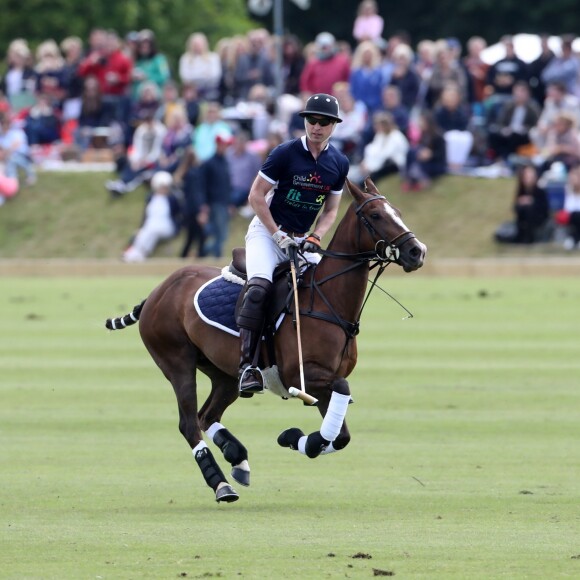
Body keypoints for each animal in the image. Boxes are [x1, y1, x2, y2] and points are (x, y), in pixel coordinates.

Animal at [105, 177, 426, 502]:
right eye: (375, 215)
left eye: (397, 212)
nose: (417, 251)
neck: (327, 301)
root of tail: (156, 292)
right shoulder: (302, 375)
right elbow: (339, 404)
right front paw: (293, 437)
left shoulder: (326, 383)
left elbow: (339, 436)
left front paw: (295, 438)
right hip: (176, 362)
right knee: (189, 423)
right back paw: (221, 484)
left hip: (222, 373)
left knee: (206, 414)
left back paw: (237, 457)